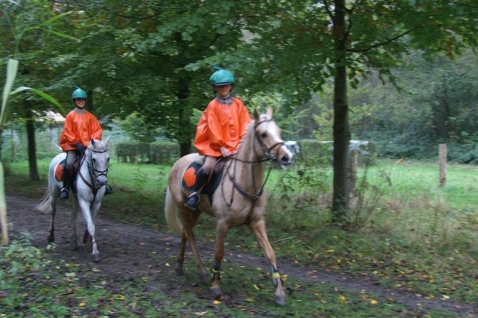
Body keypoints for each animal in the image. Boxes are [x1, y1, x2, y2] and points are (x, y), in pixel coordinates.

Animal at [164, 107, 294, 306]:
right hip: (183, 208)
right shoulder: (222, 224)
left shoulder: (257, 223)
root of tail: (178, 163)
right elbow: (219, 253)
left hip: (196, 211)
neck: (245, 184)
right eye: (263, 134)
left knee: (186, 232)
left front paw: (279, 293)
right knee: (190, 235)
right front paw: (215, 286)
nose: (287, 157)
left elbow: (270, 253)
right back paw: (202, 271)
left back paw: (179, 266)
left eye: (278, 131)